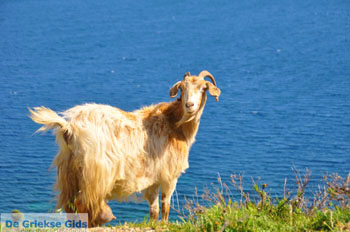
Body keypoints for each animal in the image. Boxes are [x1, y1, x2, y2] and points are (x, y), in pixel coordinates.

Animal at [30, 70, 221, 227]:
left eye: (203, 88)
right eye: (182, 88)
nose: (190, 105)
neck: (174, 124)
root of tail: (69, 127)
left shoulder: (153, 179)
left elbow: (154, 209)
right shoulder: (169, 176)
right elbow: (165, 206)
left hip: (69, 172)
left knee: (71, 206)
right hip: (95, 174)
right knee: (84, 204)